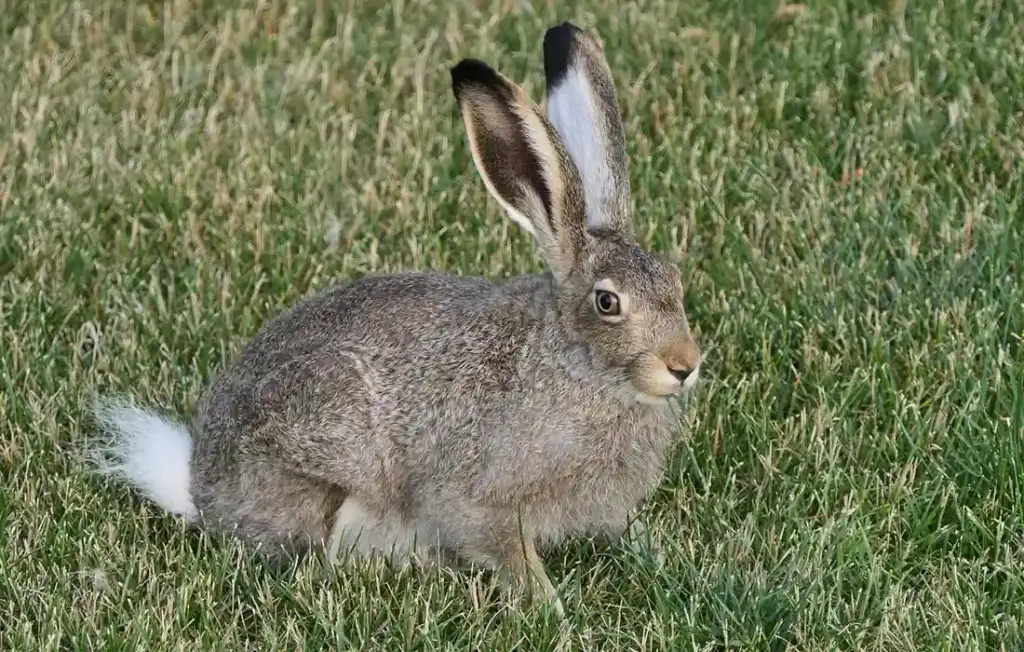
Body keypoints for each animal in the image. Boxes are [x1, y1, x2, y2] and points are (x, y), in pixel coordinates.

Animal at [90, 22, 702, 614]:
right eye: (607, 302)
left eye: (674, 280)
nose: (685, 365)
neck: (580, 364)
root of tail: (202, 489)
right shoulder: (481, 499)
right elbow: (507, 549)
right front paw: (551, 606)